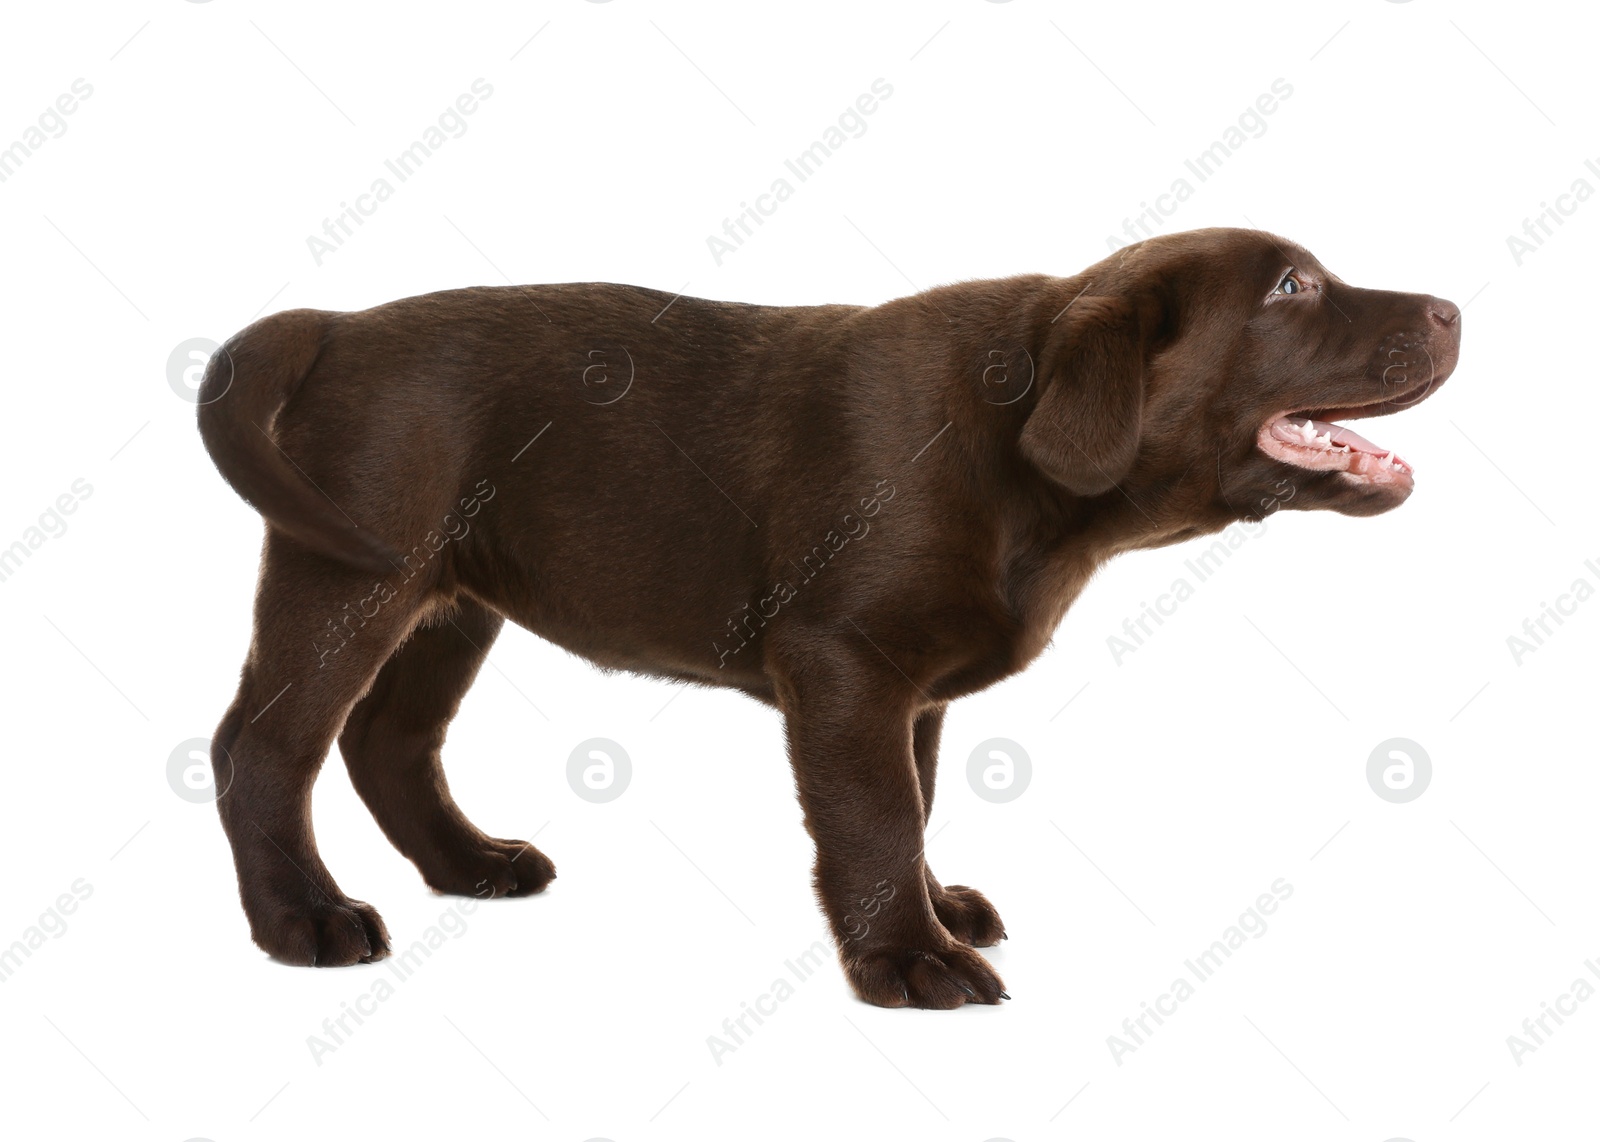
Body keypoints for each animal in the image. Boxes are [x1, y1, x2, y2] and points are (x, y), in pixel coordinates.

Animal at [193, 228, 1459, 1004]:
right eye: (1290, 289)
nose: (1451, 307)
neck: (1031, 476)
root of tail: (337, 323)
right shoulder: (844, 661)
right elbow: (875, 814)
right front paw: (906, 958)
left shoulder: (915, 688)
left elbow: (917, 798)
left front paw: (931, 913)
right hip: (348, 571)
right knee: (263, 745)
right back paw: (303, 919)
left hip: (451, 597)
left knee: (388, 738)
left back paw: (469, 863)